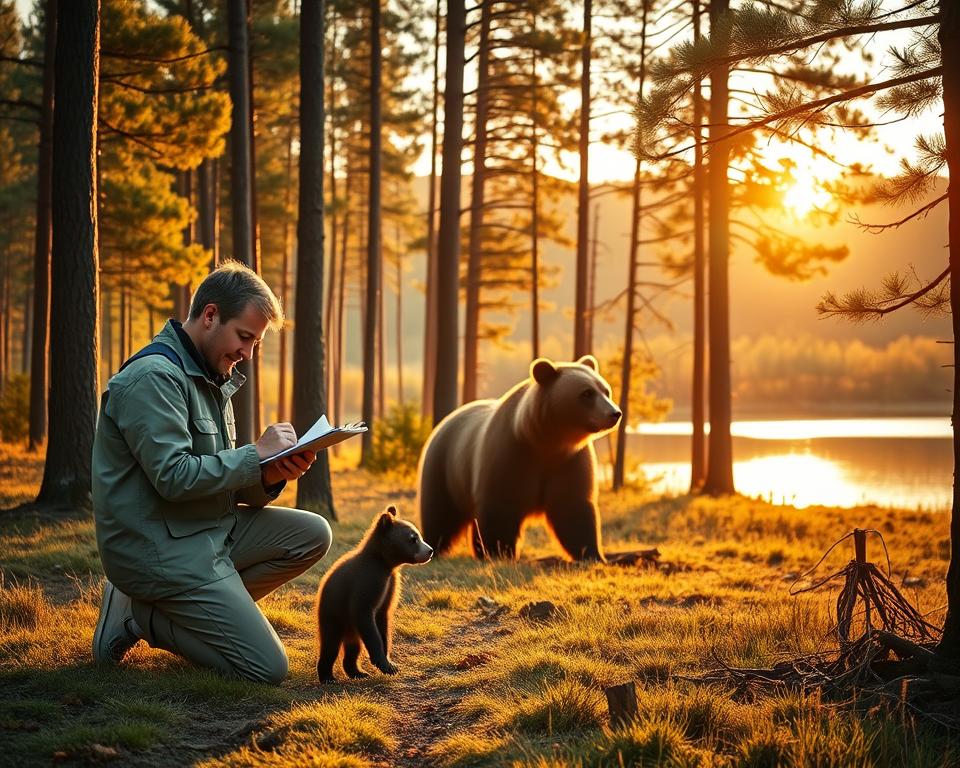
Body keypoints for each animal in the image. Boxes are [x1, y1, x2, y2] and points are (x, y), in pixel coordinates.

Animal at [316, 505, 433, 683]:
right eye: (413, 538)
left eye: (418, 535)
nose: (430, 551)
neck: (385, 563)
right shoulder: (368, 581)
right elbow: (365, 615)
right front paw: (387, 665)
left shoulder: (391, 585)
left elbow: (383, 619)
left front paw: (389, 660)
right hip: (333, 616)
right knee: (331, 645)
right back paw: (328, 676)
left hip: (350, 630)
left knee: (353, 649)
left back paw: (358, 672)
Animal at [416, 355, 621, 561]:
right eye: (587, 393)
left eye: (606, 390)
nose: (615, 413)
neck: (546, 441)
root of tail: (445, 421)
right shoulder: (511, 456)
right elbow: (501, 508)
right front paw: (501, 551)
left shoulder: (569, 462)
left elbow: (573, 508)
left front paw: (592, 554)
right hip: (443, 467)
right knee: (440, 513)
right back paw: (437, 547)